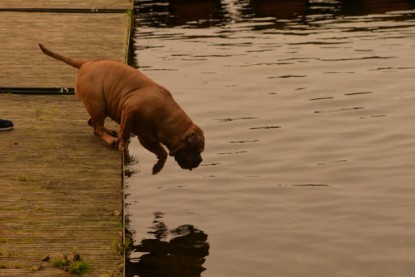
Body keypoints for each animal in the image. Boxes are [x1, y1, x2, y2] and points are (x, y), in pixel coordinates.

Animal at [39, 43, 205, 174]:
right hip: (98, 104)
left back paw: (110, 132)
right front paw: (122, 146)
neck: (168, 120)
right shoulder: (129, 109)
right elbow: (124, 132)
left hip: (101, 107)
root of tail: (85, 64)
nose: (200, 161)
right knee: (97, 128)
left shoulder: (147, 139)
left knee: (93, 123)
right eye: (197, 150)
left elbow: (163, 153)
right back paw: (111, 139)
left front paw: (157, 167)